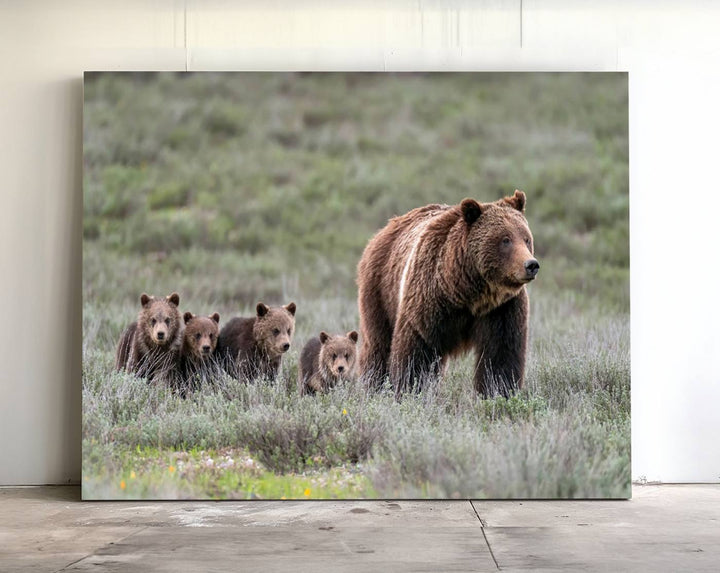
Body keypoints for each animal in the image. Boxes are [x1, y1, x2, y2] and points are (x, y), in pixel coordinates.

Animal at [358, 190, 536, 396]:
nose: (531, 265)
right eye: (505, 239)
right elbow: (416, 352)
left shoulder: (502, 308)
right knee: (378, 344)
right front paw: (410, 390)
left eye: (526, 238)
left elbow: (501, 355)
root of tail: (385, 229)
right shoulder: (428, 299)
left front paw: (499, 392)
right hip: (381, 289)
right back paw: (373, 385)